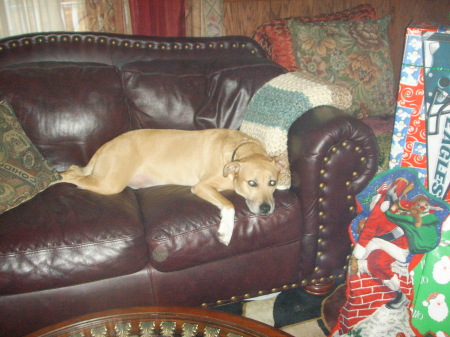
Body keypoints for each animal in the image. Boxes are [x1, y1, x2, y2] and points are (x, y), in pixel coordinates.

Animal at [58, 129, 286, 244]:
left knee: (74, 170)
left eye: (272, 183)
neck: (240, 150)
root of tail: (107, 144)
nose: (266, 209)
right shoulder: (202, 186)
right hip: (109, 183)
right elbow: (229, 205)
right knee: (70, 175)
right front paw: (226, 231)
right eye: (251, 183)